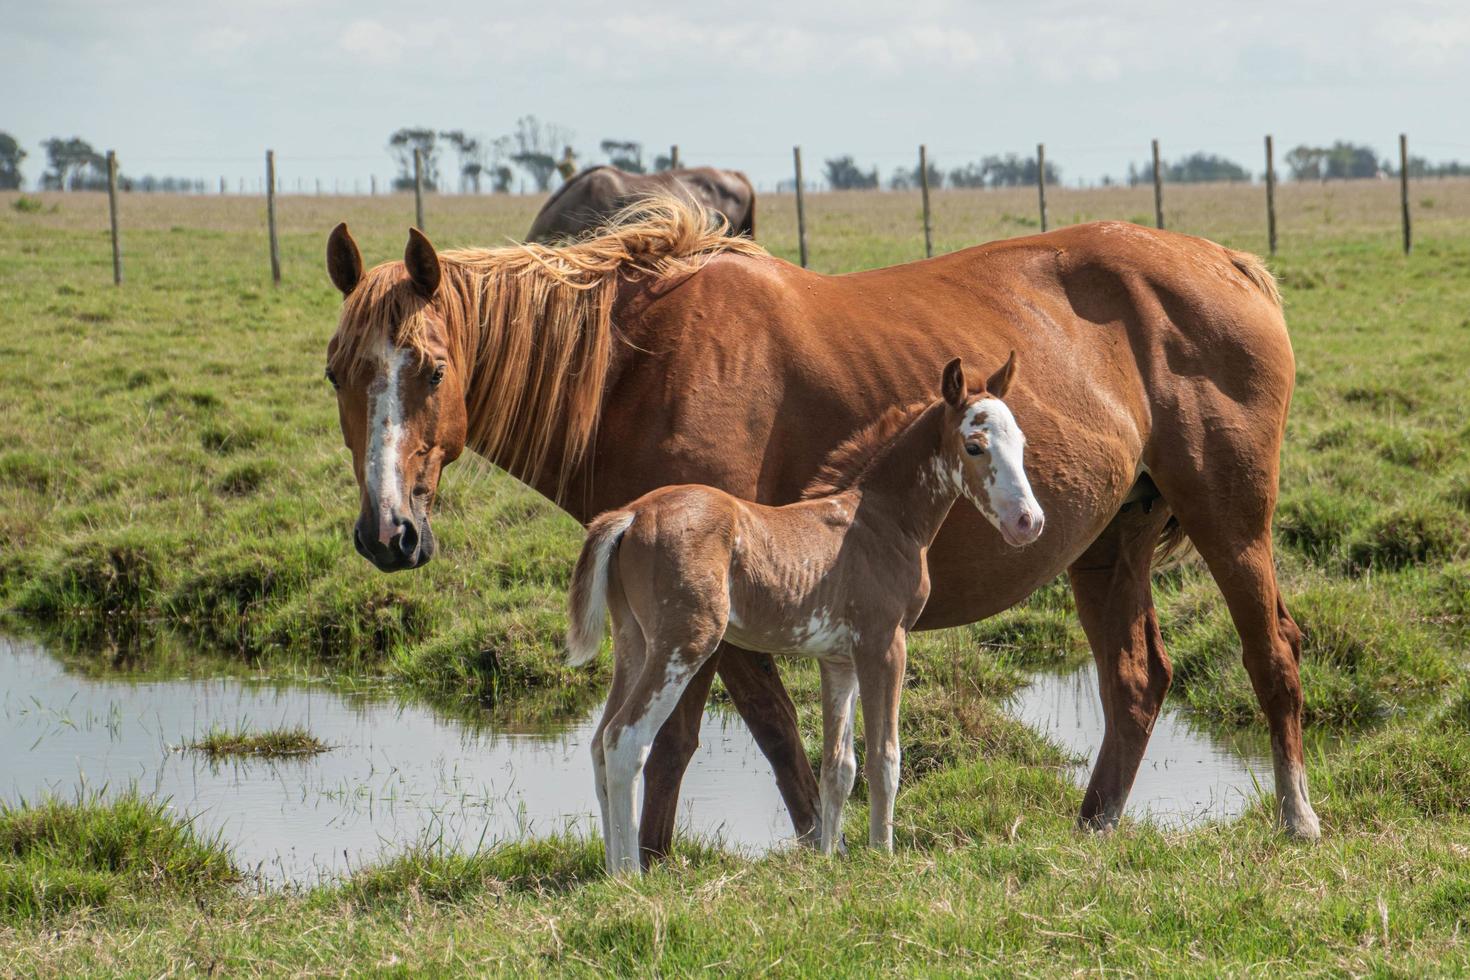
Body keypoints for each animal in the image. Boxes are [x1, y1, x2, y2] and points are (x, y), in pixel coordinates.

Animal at [567, 354, 1040, 875]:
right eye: (974, 446)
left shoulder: (838, 660)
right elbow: (884, 758)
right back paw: (632, 875)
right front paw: (883, 856)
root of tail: (632, 515)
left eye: (1021, 444)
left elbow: (839, 766)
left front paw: (831, 858)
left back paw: (612, 874)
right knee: (626, 739)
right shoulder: (884, 645)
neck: (882, 521)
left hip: (634, 641)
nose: (1028, 522)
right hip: (683, 644)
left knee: (599, 742)